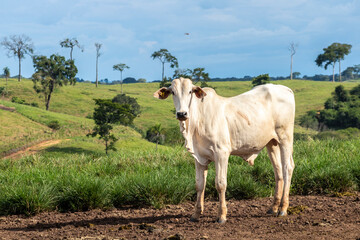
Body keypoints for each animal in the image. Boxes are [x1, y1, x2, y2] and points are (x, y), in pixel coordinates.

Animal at [153, 78, 294, 223]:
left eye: (190, 91)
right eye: (173, 92)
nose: (182, 114)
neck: (196, 122)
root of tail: (285, 89)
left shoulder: (221, 153)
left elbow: (220, 184)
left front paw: (221, 215)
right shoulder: (199, 158)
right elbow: (199, 185)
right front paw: (196, 214)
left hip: (285, 138)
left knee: (287, 168)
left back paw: (283, 208)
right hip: (271, 143)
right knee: (278, 171)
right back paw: (274, 208)